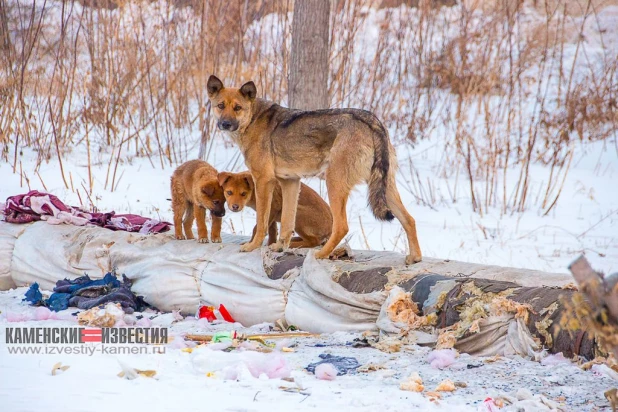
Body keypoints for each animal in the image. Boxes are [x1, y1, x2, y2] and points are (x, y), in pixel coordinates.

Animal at [205, 75, 422, 264]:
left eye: (237, 108)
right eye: (220, 106)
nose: (225, 124)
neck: (253, 120)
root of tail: (372, 120)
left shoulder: (263, 181)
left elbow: (261, 223)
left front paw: (252, 246)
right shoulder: (290, 182)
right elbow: (287, 223)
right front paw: (280, 247)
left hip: (334, 184)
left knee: (341, 226)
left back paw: (322, 254)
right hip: (385, 188)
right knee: (410, 219)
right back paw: (415, 258)